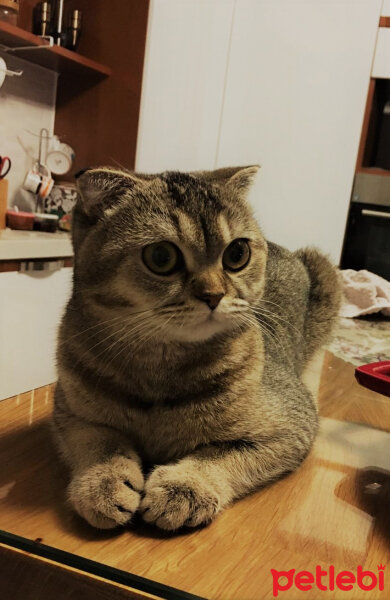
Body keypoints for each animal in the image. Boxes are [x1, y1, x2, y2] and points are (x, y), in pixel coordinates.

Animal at [52, 168, 342, 528]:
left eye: (237, 254)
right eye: (161, 257)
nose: (213, 295)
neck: (159, 369)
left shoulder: (293, 426)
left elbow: (218, 455)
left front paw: (185, 487)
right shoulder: (69, 412)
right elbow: (99, 442)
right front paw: (102, 484)